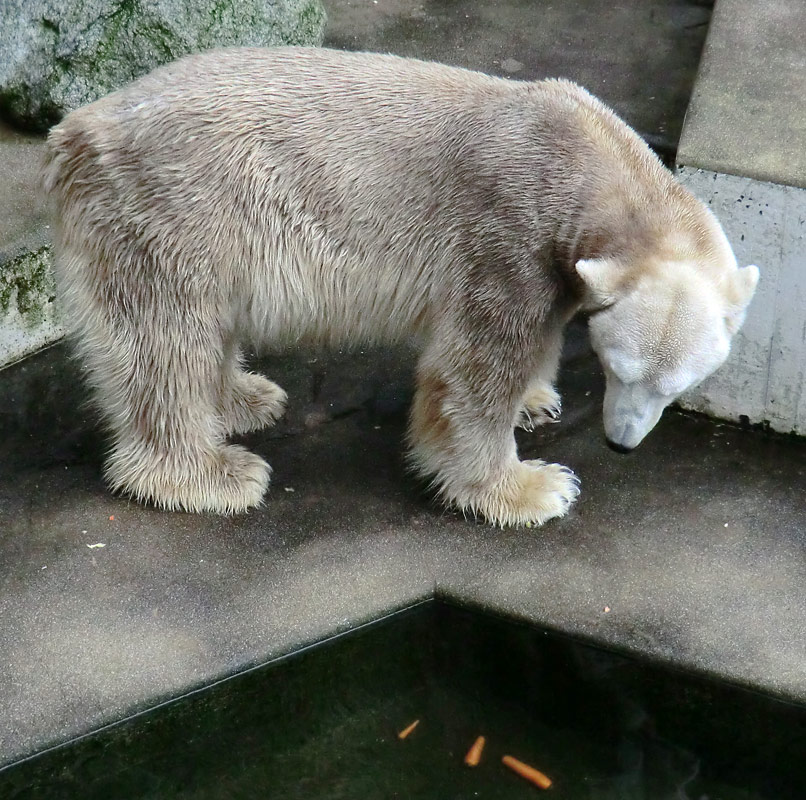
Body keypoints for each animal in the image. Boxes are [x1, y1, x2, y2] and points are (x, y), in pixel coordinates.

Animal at [42, 47, 764, 528]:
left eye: (678, 385)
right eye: (619, 367)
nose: (621, 442)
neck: (583, 158)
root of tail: (76, 132)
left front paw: (535, 400)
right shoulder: (509, 233)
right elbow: (475, 367)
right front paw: (530, 489)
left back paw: (247, 398)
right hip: (176, 209)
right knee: (167, 341)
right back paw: (214, 474)